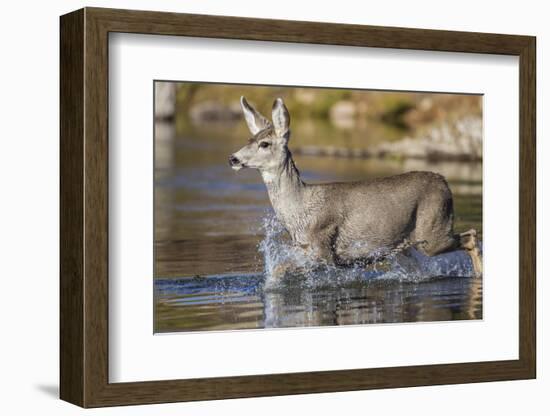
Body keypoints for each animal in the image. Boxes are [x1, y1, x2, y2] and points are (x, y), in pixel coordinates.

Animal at [229, 97, 484, 278]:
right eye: (249, 140)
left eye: (265, 144)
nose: (233, 158)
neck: (299, 209)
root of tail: (444, 181)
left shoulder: (322, 249)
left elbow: (279, 269)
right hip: (404, 246)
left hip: (432, 231)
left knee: (471, 236)